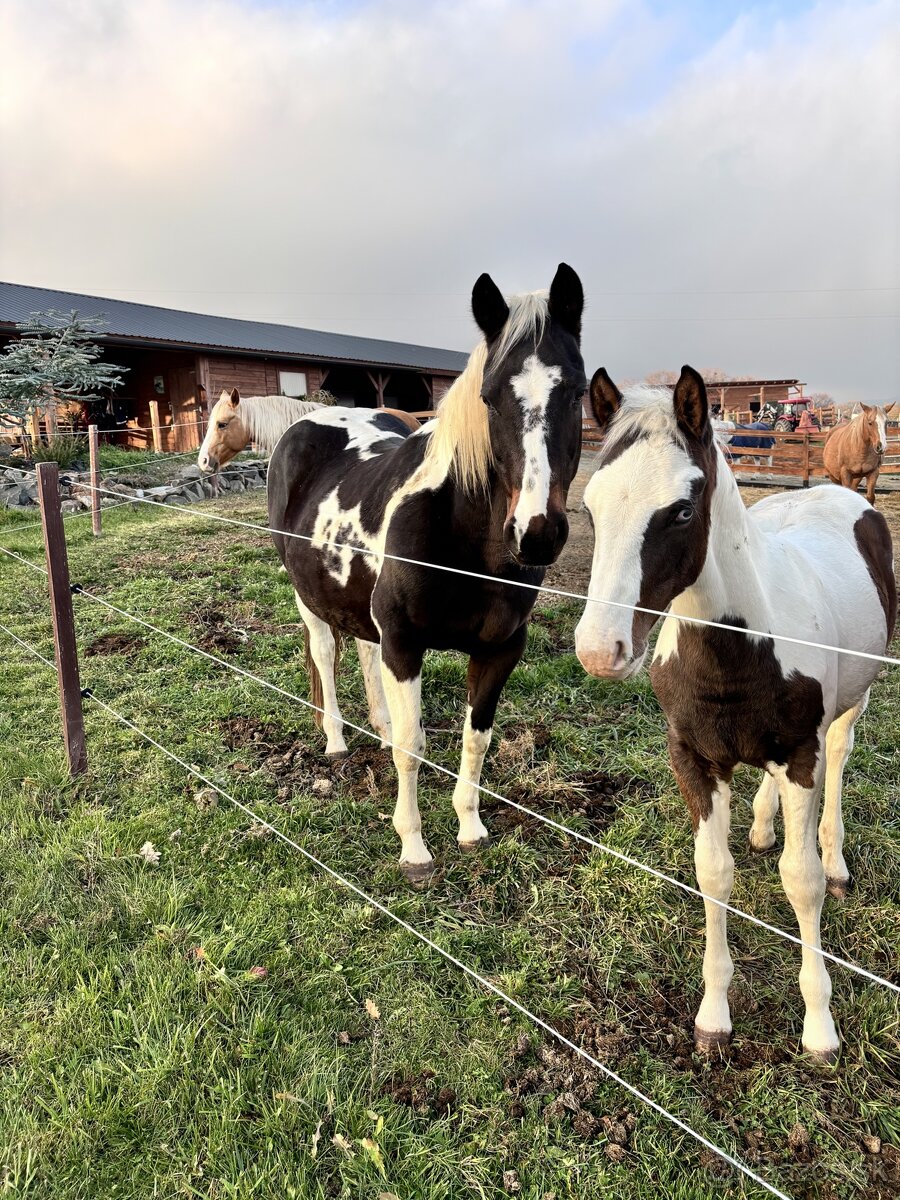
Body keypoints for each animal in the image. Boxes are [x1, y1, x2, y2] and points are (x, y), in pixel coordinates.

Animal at [267, 265, 588, 883]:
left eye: (580, 391)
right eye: (488, 397)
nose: (535, 532)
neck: (463, 542)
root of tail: (308, 421)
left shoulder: (499, 651)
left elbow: (475, 741)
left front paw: (469, 826)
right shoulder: (404, 644)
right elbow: (412, 747)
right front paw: (413, 848)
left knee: (362, 653)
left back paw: (375, 724)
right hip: (307, 599)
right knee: (326, 654)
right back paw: (336, 739)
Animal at [573, 364, 897, 1060]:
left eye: (682, 510)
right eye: (589, 506)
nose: (599, 651)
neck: (737, 653)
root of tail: (839, 494)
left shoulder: (800, 752)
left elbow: (800, 881)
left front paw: (819, 1027)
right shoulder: (694, 757)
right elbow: (713, 873)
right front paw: (713, 1017)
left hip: (850, 706)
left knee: (839, 759)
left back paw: (836, 861)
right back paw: (763, 825)